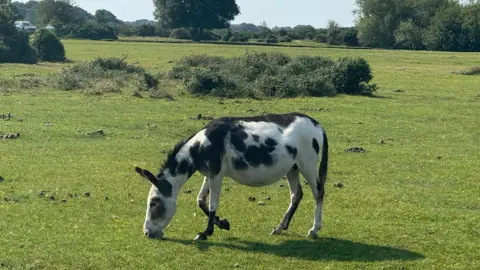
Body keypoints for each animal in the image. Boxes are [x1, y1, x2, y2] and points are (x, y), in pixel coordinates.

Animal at [135, 112, 330, 240]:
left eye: (153, 203)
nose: (147, 233)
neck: (200, 146)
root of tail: (317, 124)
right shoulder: (209, 174)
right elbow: (200, 200)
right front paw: (222, 224)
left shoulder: (216, 175)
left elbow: (212, 204)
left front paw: (205, 233)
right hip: (293, 169)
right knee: (296, 195)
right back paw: (280, 227)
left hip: (307, 165)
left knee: (318, 193)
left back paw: (314, 229)